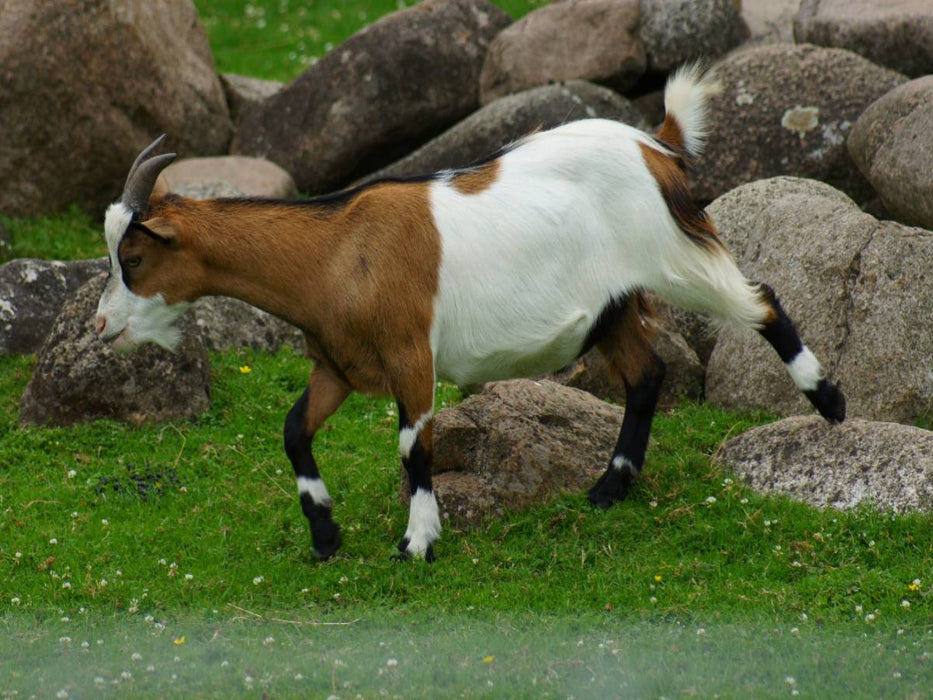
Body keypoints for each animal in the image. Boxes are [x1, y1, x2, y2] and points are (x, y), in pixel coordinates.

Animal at [95, 65, 845, 562]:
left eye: (132, 255)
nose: (100, 328)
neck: (338, 251)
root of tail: (654, 145)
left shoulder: (410, 354)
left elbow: (412, 445)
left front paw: (418, 541)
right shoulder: (337, 366)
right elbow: (292, 433)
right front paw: (325, 534)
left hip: (675, 258)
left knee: (761, 302)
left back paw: (829, 402)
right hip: (610, 308)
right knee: (646, 377)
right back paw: (608, 490)